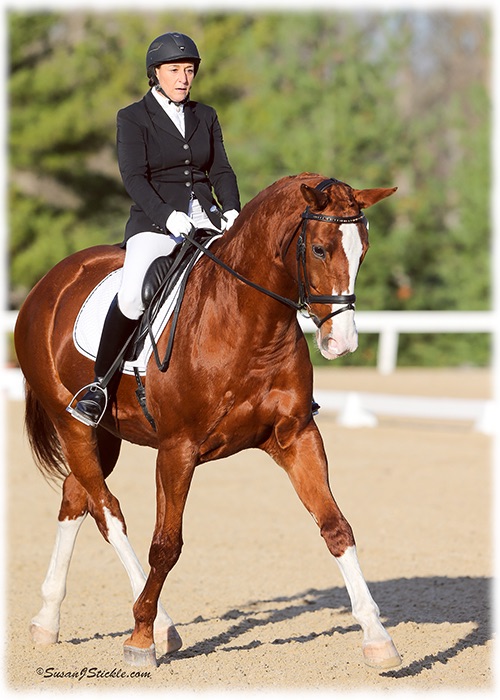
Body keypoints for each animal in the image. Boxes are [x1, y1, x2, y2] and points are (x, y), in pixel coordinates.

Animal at [14, 172, 402, 668]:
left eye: (363, 249)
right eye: (318, 249)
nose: (342, 342)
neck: (248, 321)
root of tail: (52, 279)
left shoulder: (296, 436)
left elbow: (336, 527)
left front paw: (377, 638)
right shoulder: (177, 450)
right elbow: (166, 545)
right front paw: (140, 638)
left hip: (107, 435)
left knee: (74, 497)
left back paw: (47, 620)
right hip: (75, 425)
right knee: (107, 511)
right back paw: (160, 624)